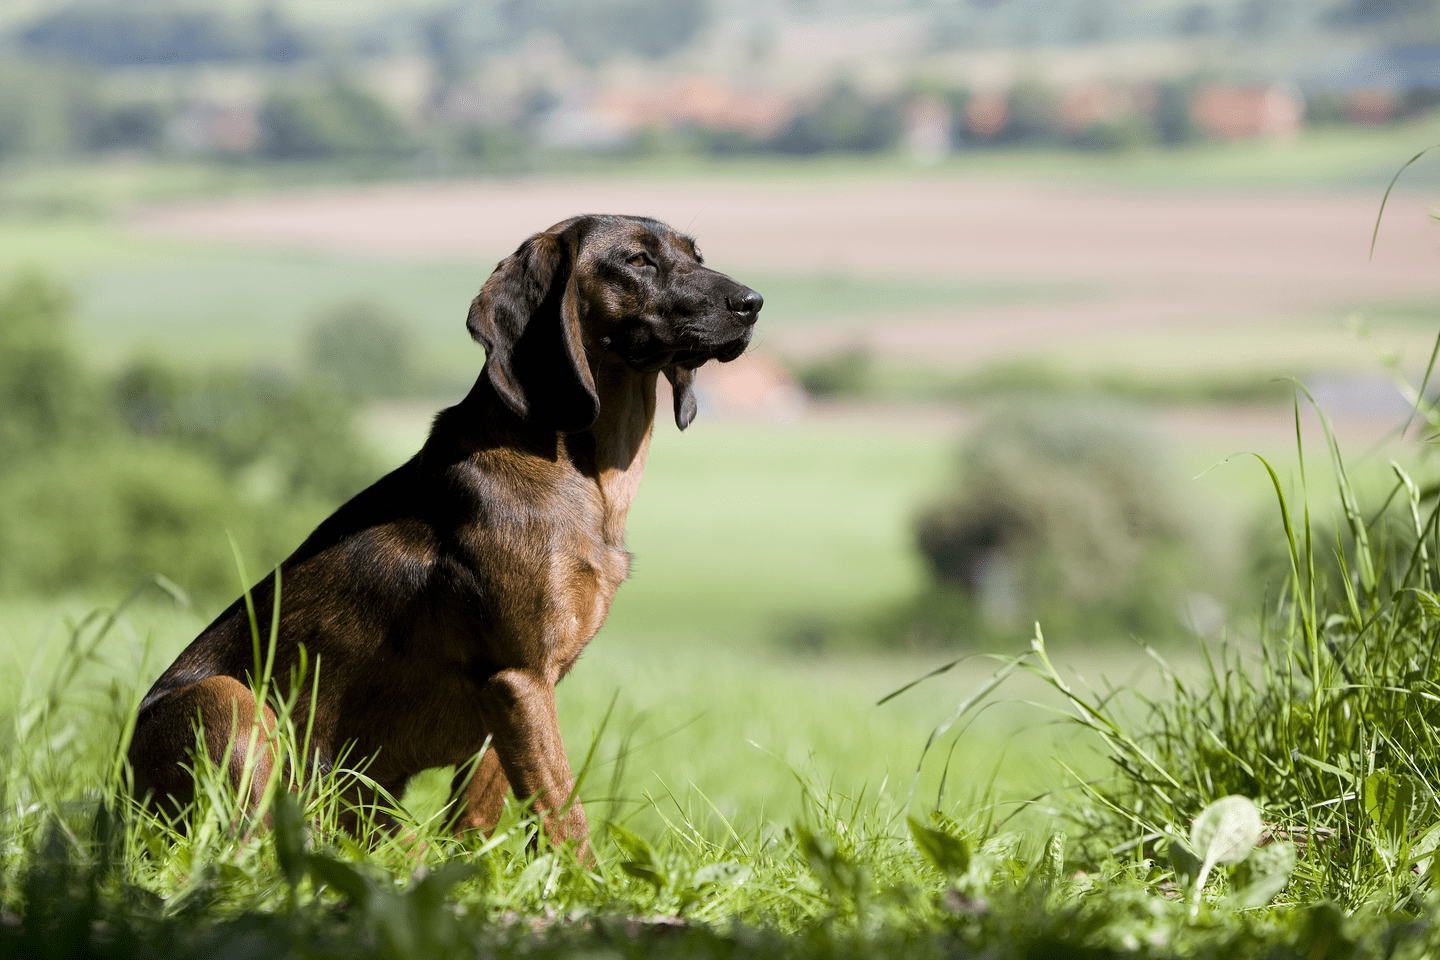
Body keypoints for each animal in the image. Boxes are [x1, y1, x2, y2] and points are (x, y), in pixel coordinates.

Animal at [129, 215, 766, 857]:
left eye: (696, 256)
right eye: (636, 260)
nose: (753, 303)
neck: (577, 469)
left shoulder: (513, 694)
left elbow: (481, 817)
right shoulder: (520, 677)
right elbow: (565, 817)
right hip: (232, 703)